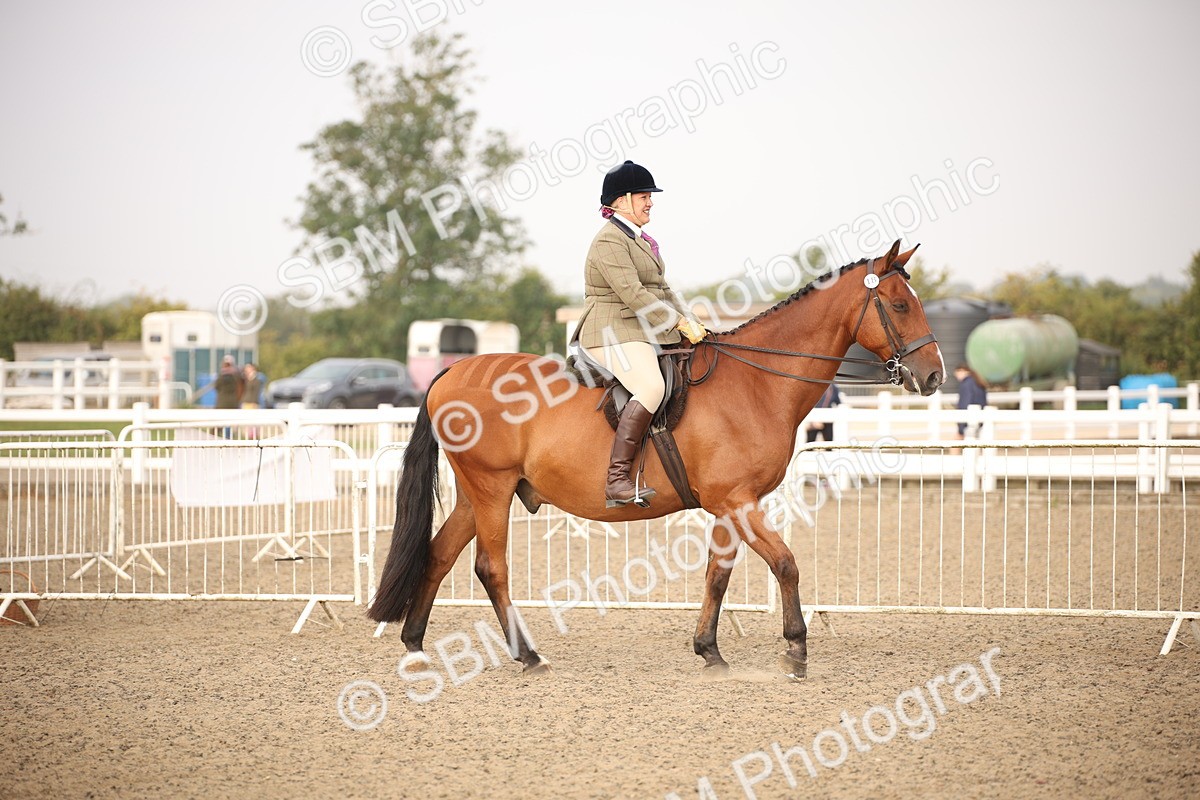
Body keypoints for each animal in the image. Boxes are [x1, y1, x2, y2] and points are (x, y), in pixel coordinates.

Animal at [368, 239, 945, 679]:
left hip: (479, 494)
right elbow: (785, 563)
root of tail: (451, 372)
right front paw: (796, 650)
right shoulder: (739, 502)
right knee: (491, 568)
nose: (934, 375)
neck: (755, 383)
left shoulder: (728, 506)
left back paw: (415, 646)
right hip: (491, 489)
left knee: (439, 555)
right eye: (899, 305)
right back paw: (528, 656)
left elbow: (717, 575)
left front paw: (710, 652)